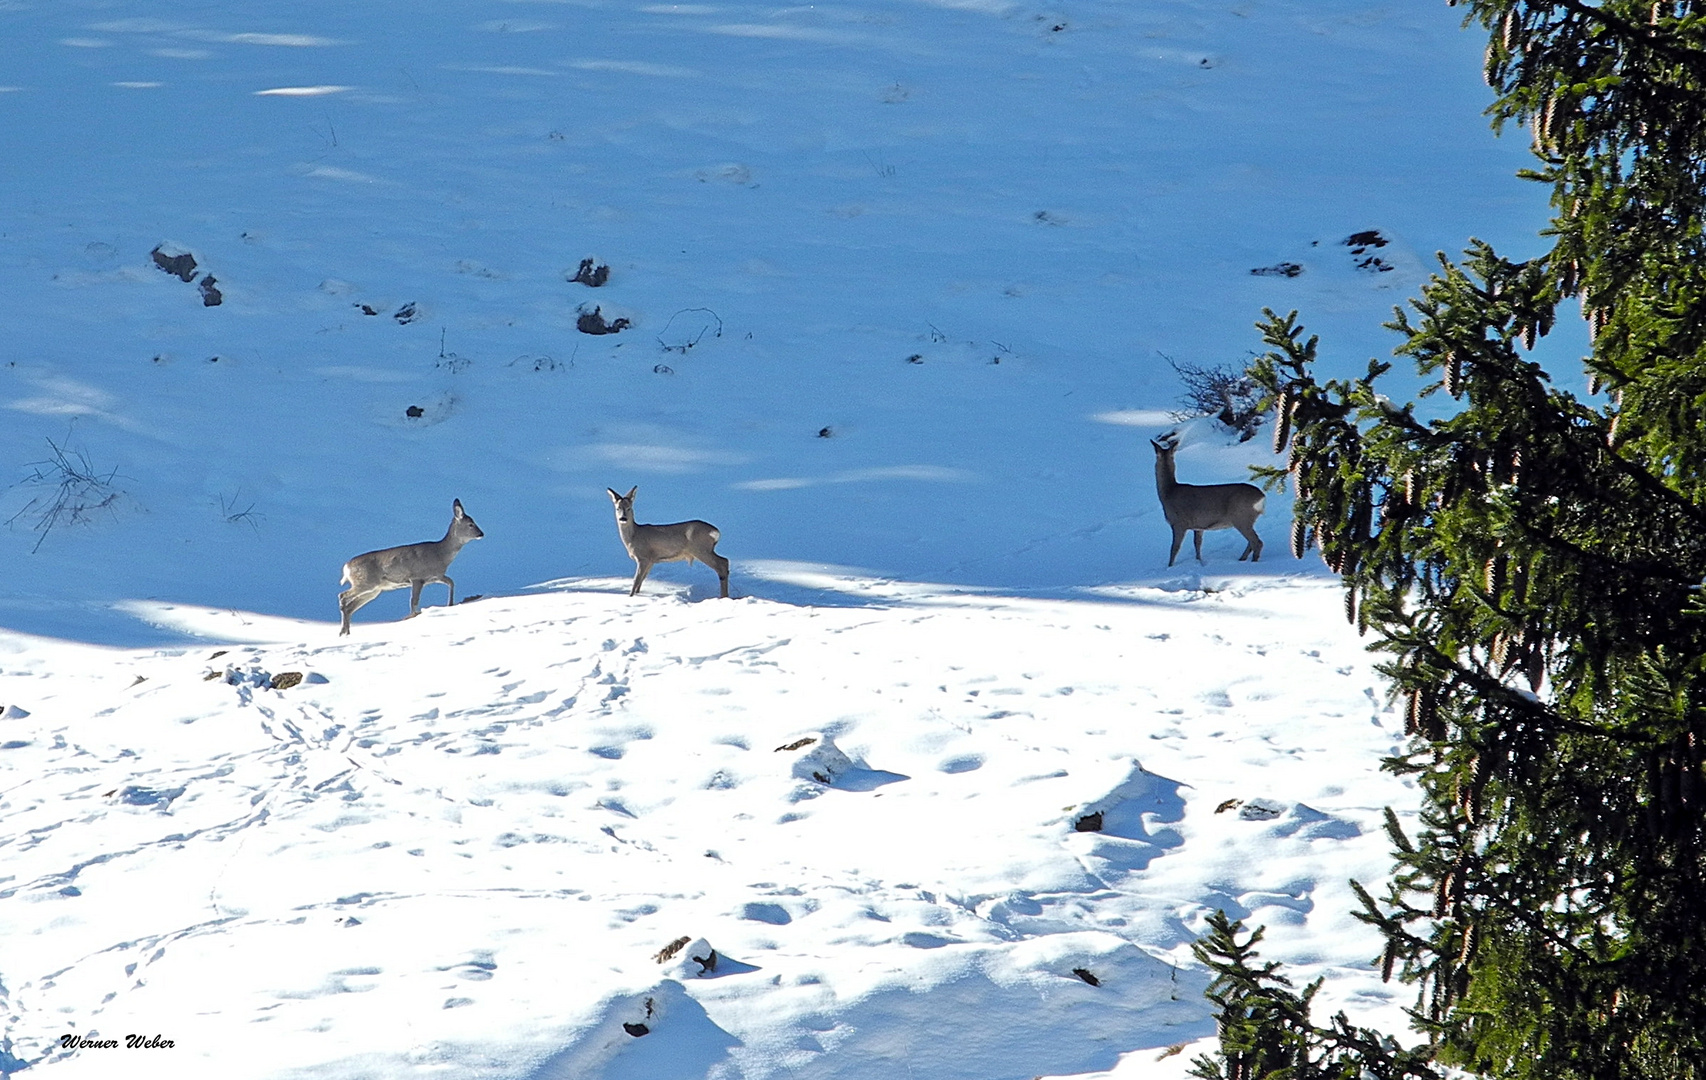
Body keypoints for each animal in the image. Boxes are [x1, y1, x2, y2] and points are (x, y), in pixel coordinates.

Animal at [1153, 431, 1262, 563]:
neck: (1169, 492)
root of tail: (1262, 497)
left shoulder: (1179, 523)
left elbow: (1174, 548)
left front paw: (1170, 565)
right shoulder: (1198, 526)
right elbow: (1197, 544)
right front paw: (1199, 561)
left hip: (1241, 517)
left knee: (1257, 542)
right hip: (1247, 520)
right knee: (1251, 542)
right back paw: (1241, 559)